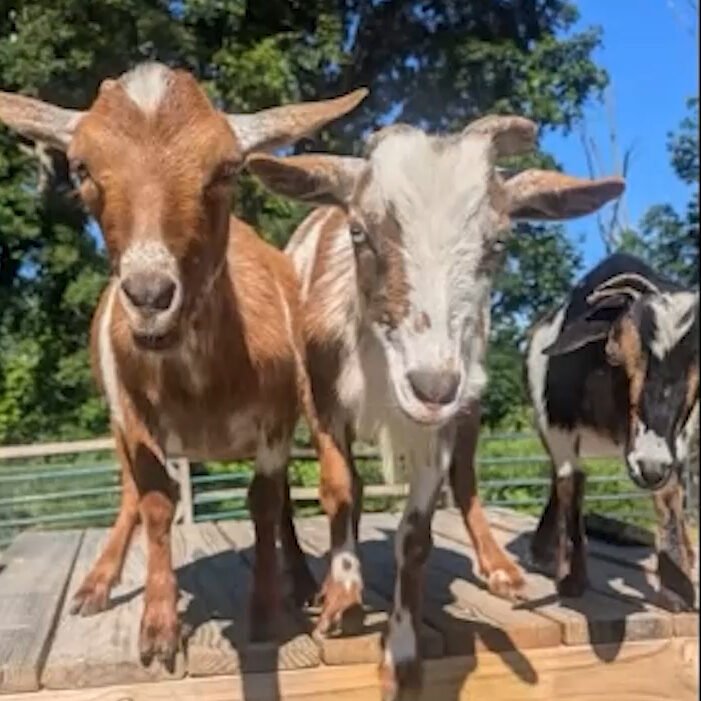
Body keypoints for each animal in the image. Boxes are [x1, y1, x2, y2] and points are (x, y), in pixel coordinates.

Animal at [0, 62, 366, 666]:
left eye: (226, 169)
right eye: (81, 166)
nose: (149, 295)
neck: (202, 384)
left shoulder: (275, 422)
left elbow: (265, 501)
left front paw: (264, 614)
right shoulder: (134, 419)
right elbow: (153, 501)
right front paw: (157, 625)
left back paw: (299, 581)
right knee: (129, 493)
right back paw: (96, 584)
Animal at [246, 116, 625, 697]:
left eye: (498, 242)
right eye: (360, 232)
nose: (431, 385)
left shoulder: (444, 415)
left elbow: (416, 535)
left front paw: (401, 659)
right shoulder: (322, 396)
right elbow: (337, 489)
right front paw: (343, 598)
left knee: (465, 474)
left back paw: (497, 567)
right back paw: (311, 584)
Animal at [526, 252, 699, 609]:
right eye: (613, 351)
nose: (649, 467)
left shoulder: (675, 439)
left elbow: (668, 492)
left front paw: (677, 587)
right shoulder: (558, 426)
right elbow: (571, 483)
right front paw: (571, 579)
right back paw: (545, 554)